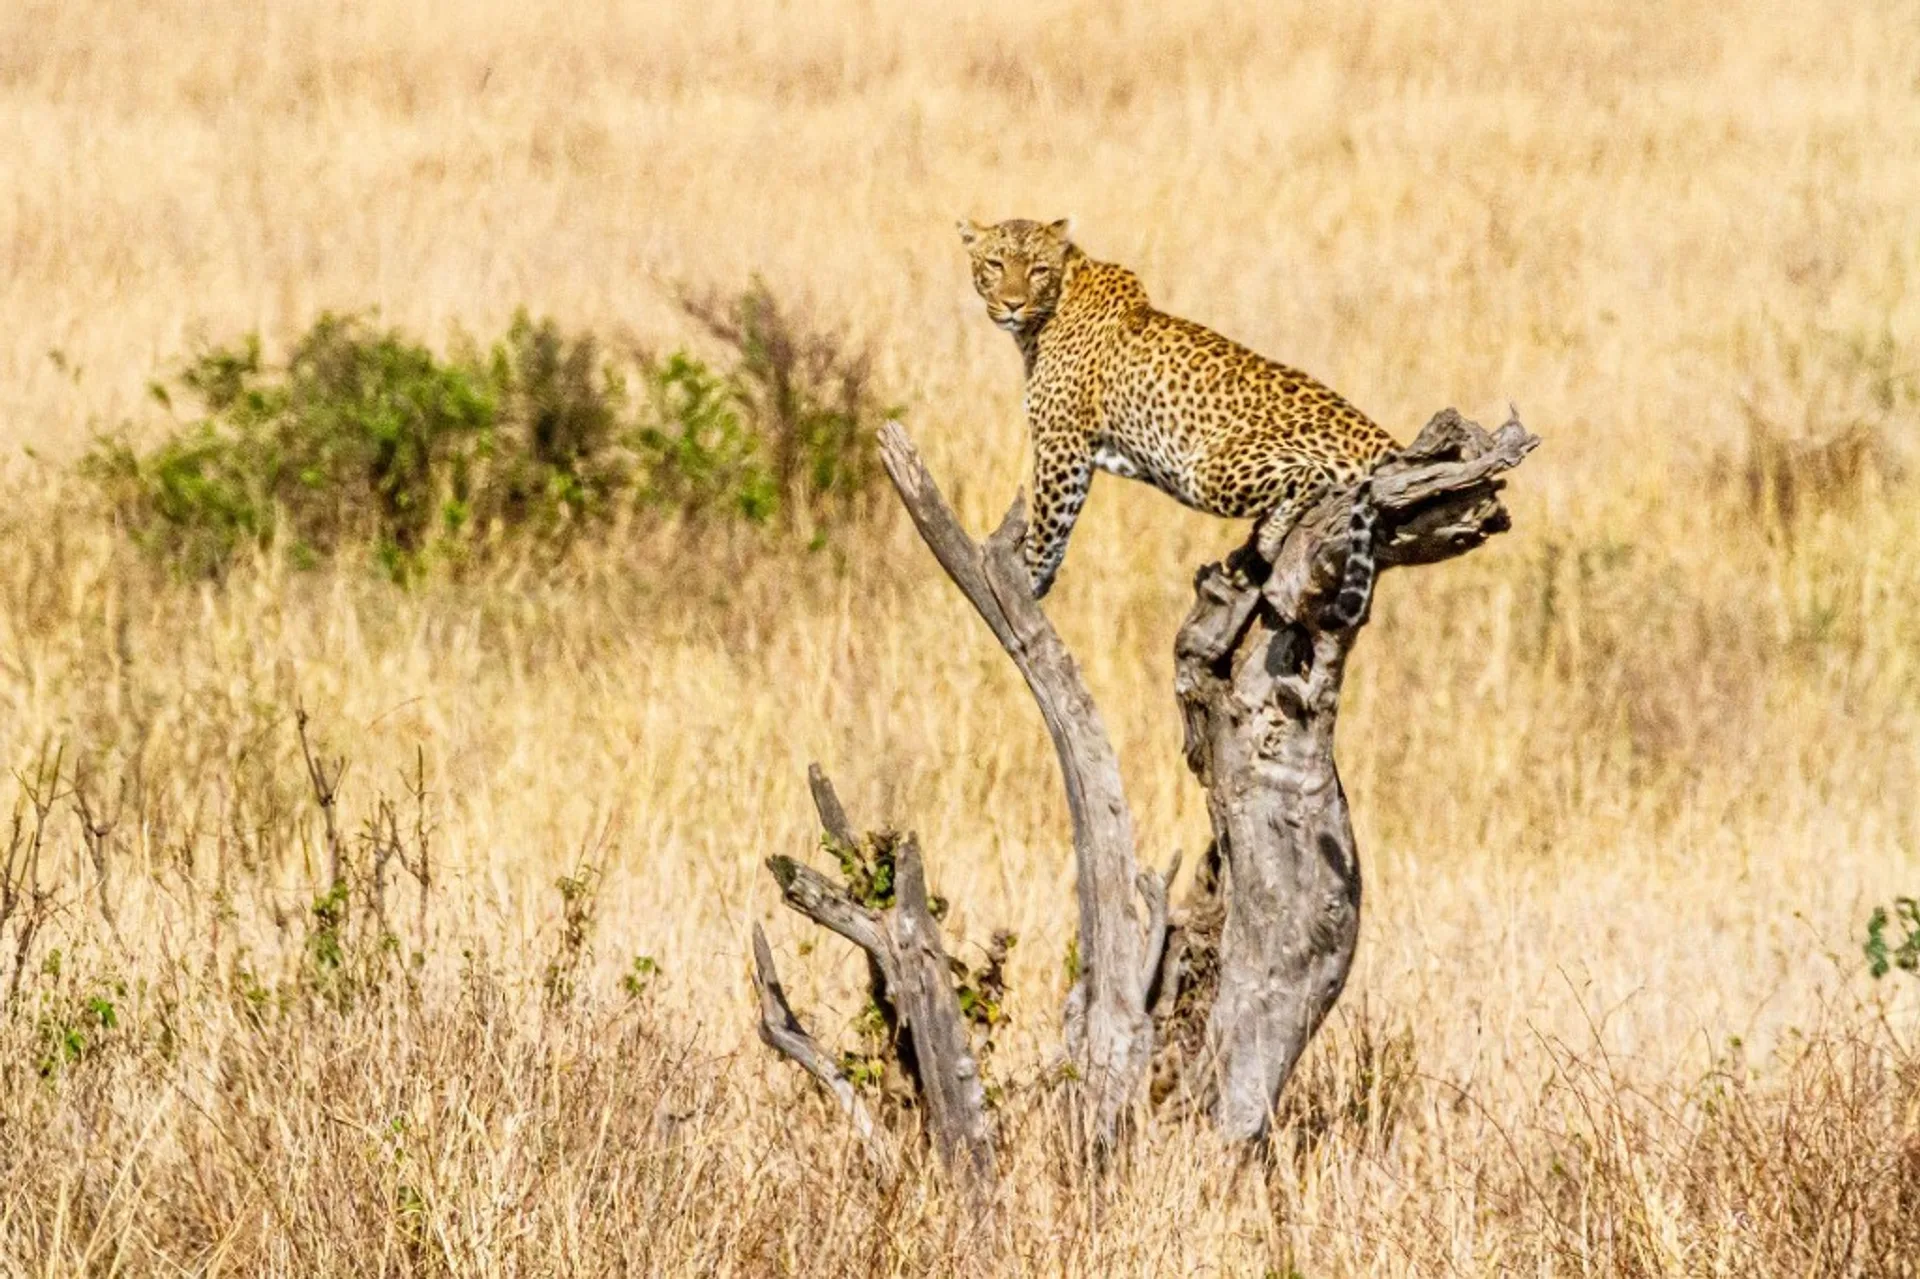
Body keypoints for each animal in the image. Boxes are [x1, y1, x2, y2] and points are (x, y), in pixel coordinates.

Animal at [959, 216, 1397, 615]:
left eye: (1038, 269)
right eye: (995, 264)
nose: (1013, 303)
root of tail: (1381, 439)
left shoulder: (1062, 443)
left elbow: (1050, 521)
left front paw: (1028, 580)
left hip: (1206, 470)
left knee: (1311, 477)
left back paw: (1268, 538)